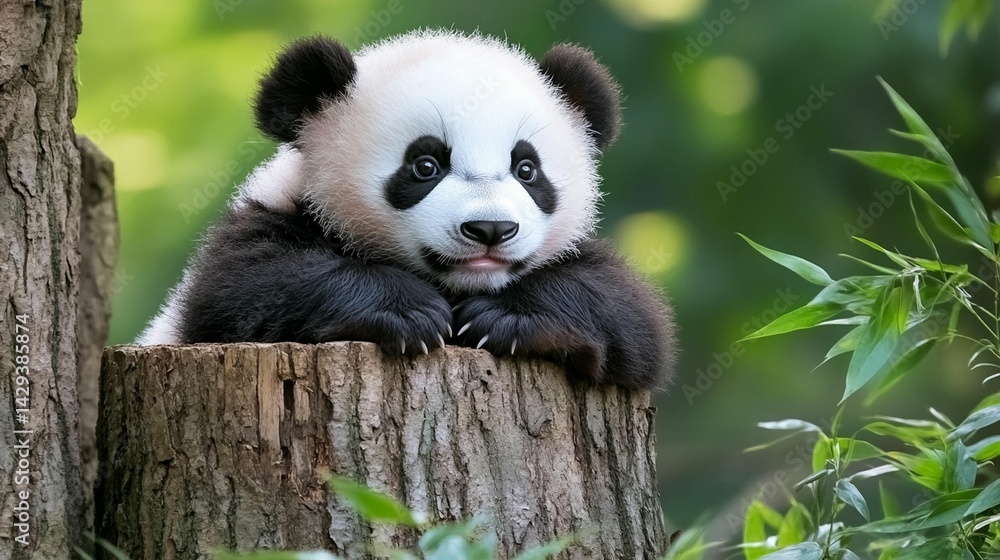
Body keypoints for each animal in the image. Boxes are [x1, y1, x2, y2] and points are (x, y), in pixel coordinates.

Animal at [138, 30, 676, 390]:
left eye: (526, 169)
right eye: (425, 165)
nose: (490, 228)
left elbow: (633, 320)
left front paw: (504, 318)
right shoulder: (268, 222)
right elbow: (242, 286)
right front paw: (409, 312)